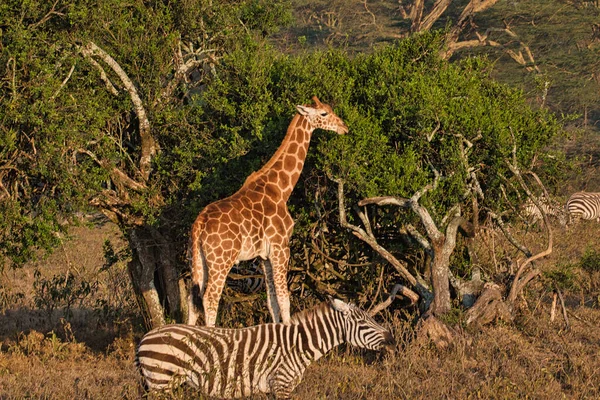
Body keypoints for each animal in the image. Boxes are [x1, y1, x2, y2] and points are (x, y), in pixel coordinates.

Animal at [135, 298, 394, 398]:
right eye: (363, 323)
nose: (391, 339)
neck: (298, 345)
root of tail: (145, 337)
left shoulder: (271, 387)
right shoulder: (281, 383)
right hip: (160, 380)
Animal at [188, 96, 346, 324]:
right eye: (324, 113)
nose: (344, 127)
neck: (281, 188)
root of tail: (199, 225)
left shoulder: (263, 256)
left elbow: (272, 302)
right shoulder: (281, 246)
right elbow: (284, 299)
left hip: (198, 260)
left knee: (193, 300)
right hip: (221, 260)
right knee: (210, 299)